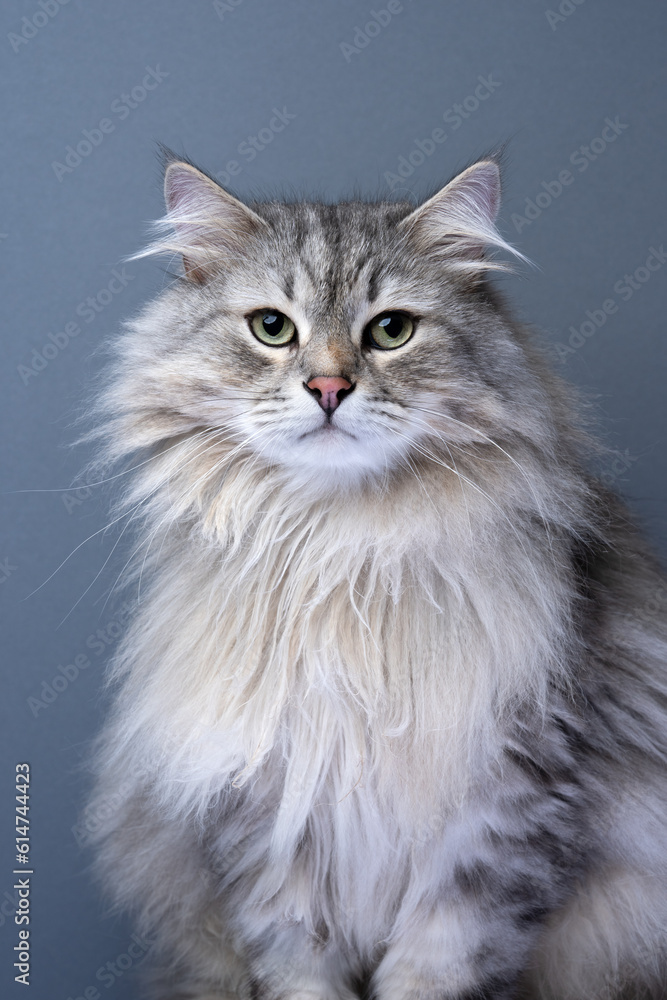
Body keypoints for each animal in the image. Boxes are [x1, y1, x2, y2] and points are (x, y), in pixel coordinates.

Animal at [83, 150, 667, 1000]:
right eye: (271, 328)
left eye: (390, 331)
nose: (328, 389)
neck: (339, 550)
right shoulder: (264, 807)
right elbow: (297, 964)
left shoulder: (508, 805)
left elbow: (439, 965)